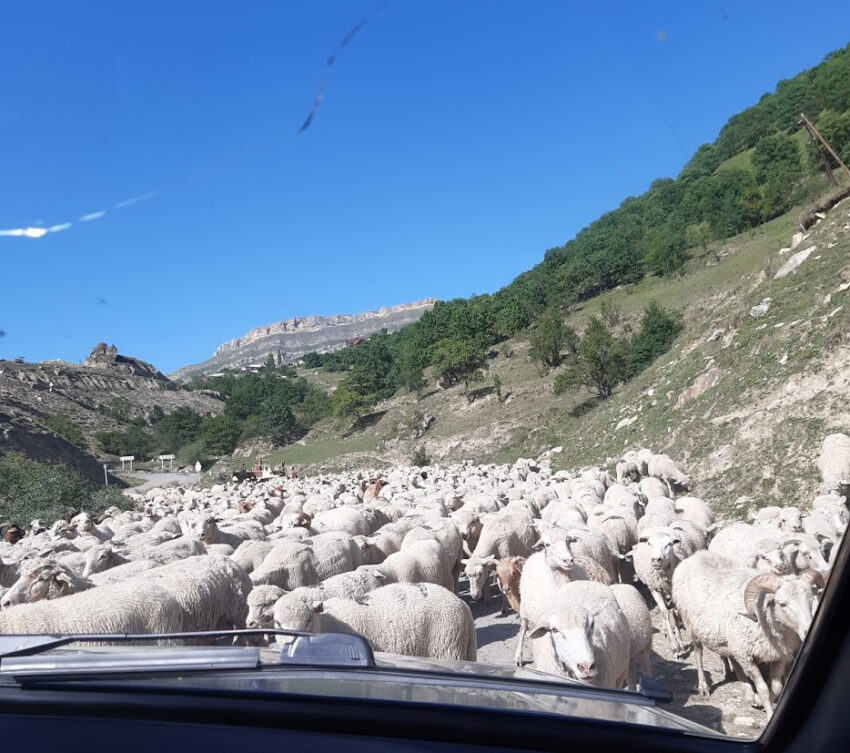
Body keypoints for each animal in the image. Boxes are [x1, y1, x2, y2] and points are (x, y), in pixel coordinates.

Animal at [270, 580, 474, 660]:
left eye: (307, 620)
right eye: (278, 623)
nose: (291, 647)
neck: (325, 624)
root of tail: (462, 605)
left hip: (446, 647)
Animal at [672, 548, 820, 712]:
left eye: (811, 600)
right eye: (782, 604)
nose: (807, 631)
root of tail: (695, 555)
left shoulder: (779, 656)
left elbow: (776, 688)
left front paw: (761, 700)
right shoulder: (747, 656)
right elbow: (763, 689)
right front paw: (767, 710)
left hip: (729, 639)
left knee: (731, 658)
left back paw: (746, 690)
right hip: (690, 623)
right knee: (698, 653)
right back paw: (703, 686)